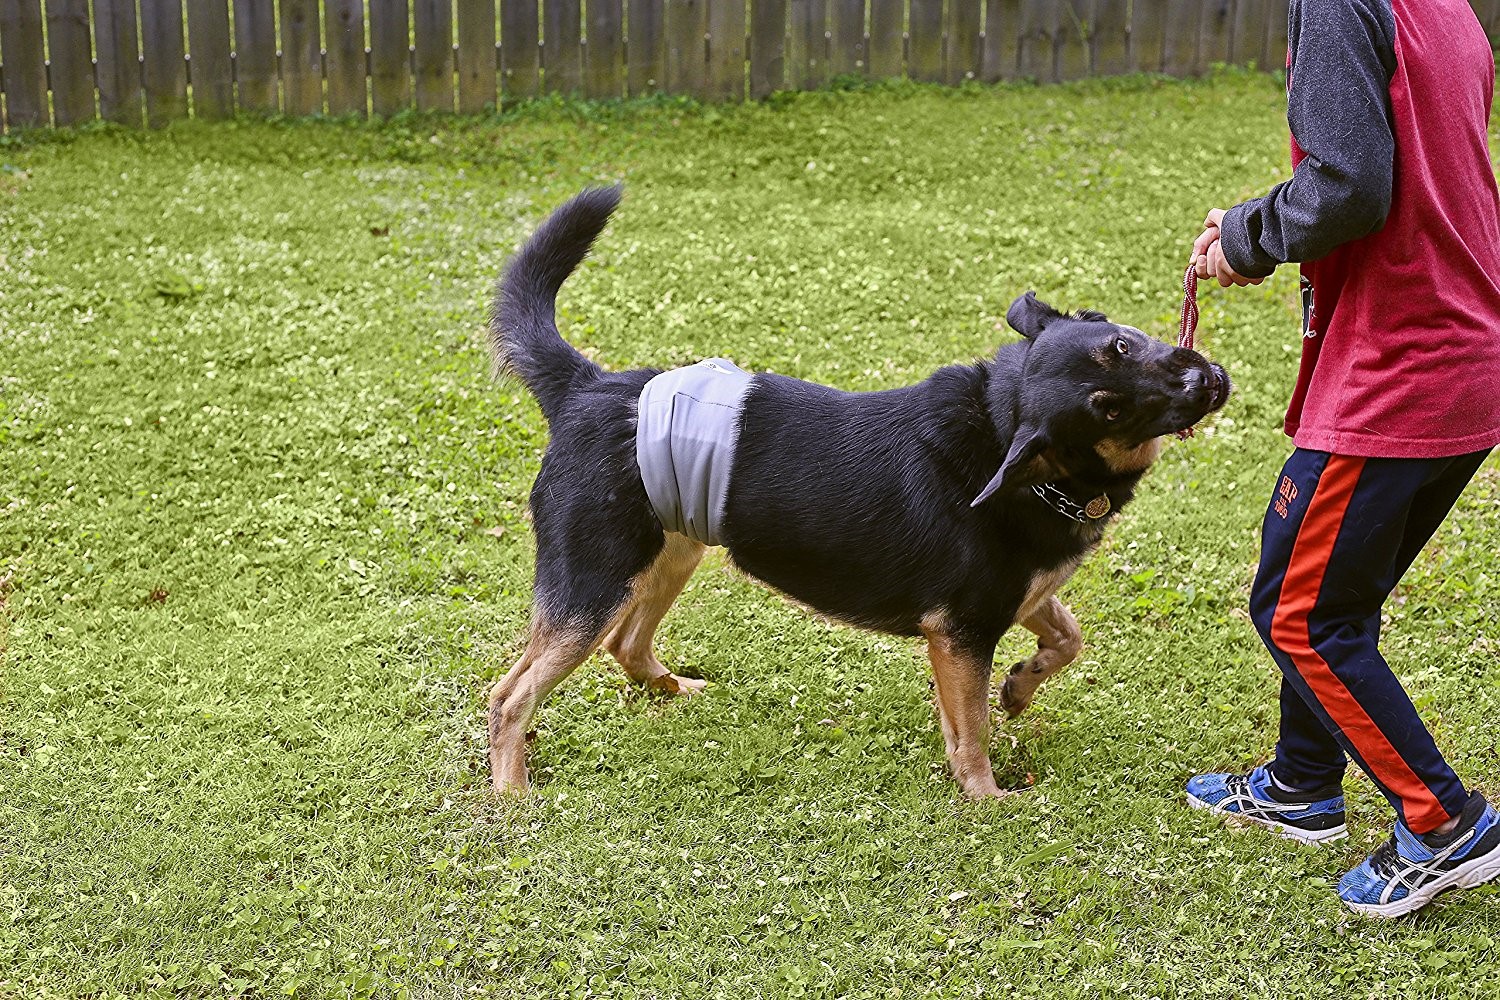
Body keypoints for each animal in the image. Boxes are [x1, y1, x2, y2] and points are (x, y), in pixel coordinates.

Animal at [489, 185, 1230, 797]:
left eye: (1122, 345)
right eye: (1108, 407)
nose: (1206, 380)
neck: (1005, 436)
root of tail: (585, 387)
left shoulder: (1016, 599)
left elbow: (1067, 639)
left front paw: (1021, 687)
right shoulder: (960, 634)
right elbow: (970, 734)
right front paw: (986, 799)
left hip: (671, 553)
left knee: (626, 647)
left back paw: (672, 687)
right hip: (591, 588)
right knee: (509, 695)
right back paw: (512, 793)